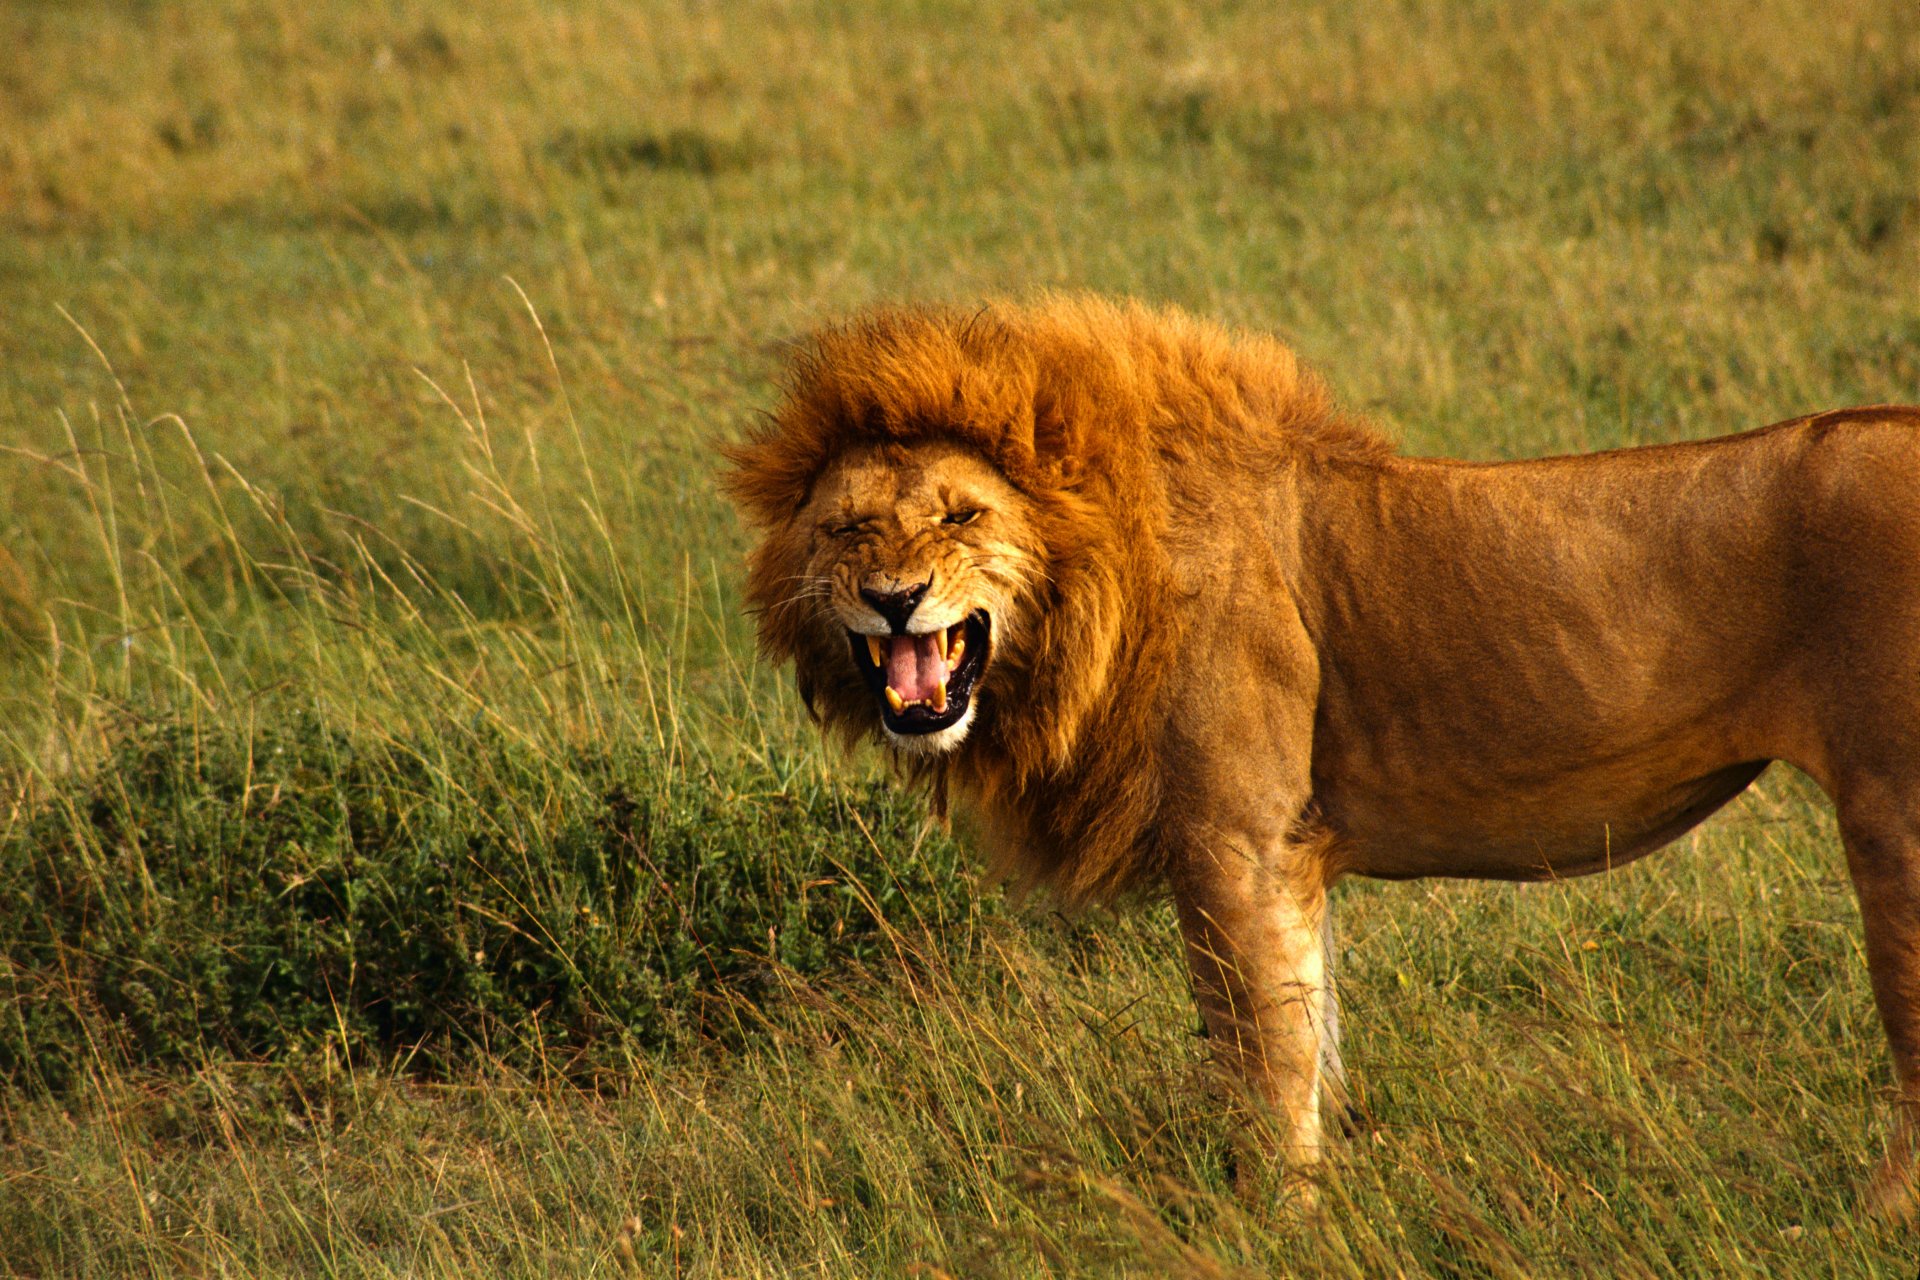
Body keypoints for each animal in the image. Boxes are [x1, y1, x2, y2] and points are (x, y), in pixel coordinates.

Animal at [724, 294, 1920, 1218]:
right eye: (849, 530)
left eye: (962, 515)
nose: (895, 598)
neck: (1096, 588)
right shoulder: (1290, 857)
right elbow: (1313, 1036)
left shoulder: (1235, 844)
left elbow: (1261, 1057)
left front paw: (1275, 1221)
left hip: (1894, 820)